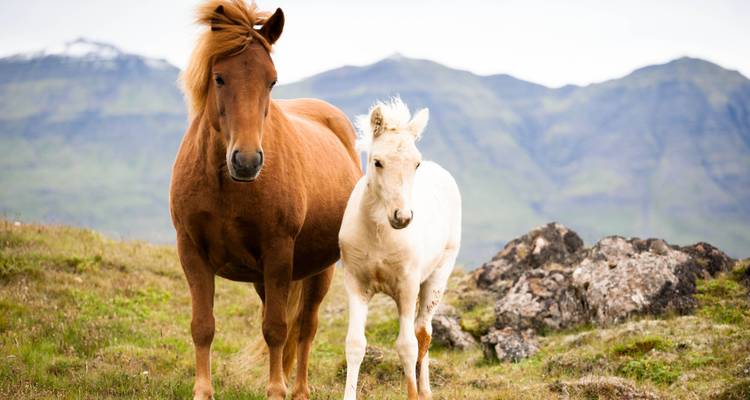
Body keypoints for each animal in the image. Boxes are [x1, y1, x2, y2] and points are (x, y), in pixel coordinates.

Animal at [170, 1, 361, 399]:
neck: (228, 188)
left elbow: (276, 329)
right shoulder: (191, 251)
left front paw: (276, 390)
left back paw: (298, 390)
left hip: (318, 271)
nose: (246, 161)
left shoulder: (278, 253)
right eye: (219, 77)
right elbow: (202, 326)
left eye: (271, 80)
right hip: (265, 279)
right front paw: (203, 391)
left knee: (304, 328)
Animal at [339, 98, 462, 400]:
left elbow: (407, 346)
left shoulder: (407, 286)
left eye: (415, 163)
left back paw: (425, 390)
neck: (379, 235)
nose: (402, 217)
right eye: (377, 161)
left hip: (438, 277)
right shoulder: (356, 284)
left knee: (423, 332)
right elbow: (355, 344)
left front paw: (414, 392)